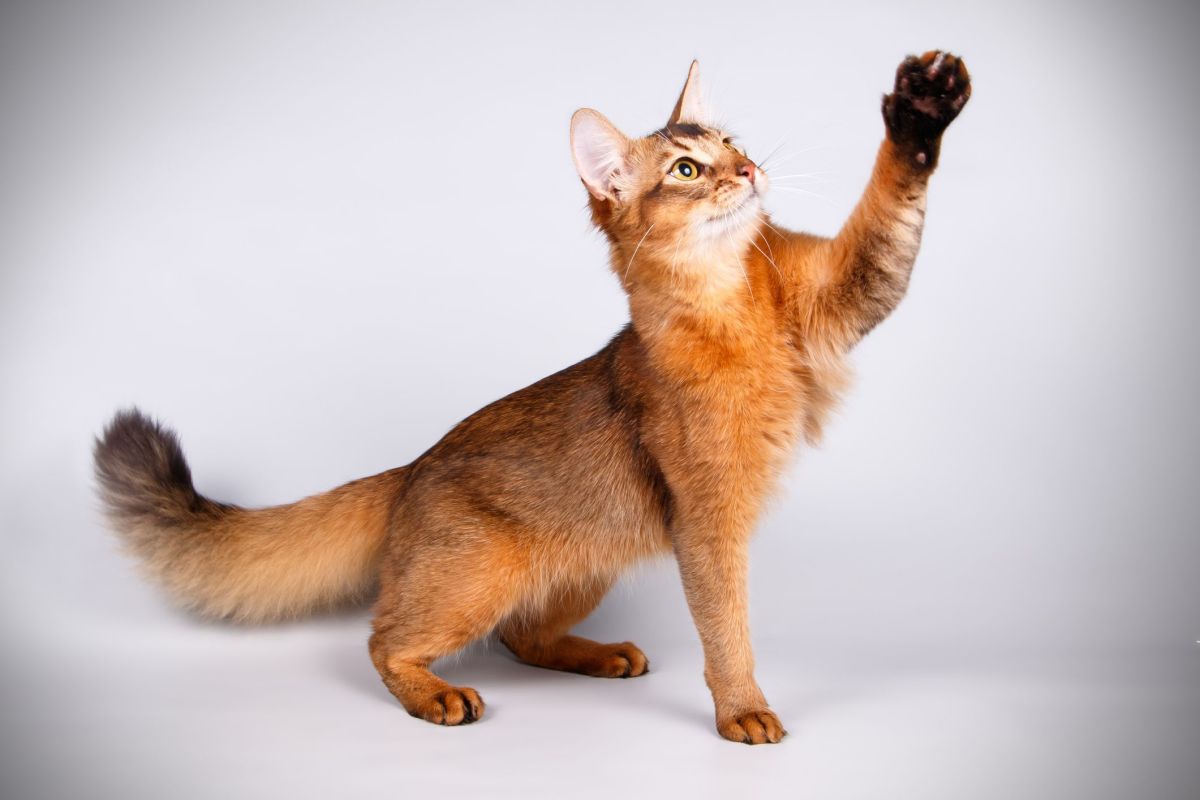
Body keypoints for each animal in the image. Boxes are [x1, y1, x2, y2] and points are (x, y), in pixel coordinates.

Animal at [96, 53, 974, 743]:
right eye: (687, 171)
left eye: (733, 145)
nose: (750, 172)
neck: (731, 300)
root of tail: (411, 467)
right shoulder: (707, 520)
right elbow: (727, 626)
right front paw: (742, 710)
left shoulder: (842, 292)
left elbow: (889, 217)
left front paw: (923, 114)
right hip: (475, 579)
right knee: (384, 639)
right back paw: (438, 695)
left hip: (588, 558)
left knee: (521, 633)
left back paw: (602, 654)